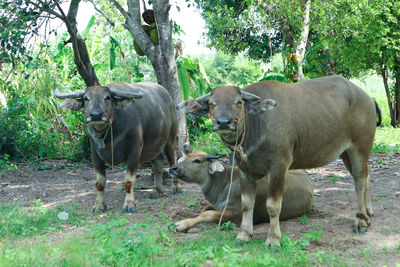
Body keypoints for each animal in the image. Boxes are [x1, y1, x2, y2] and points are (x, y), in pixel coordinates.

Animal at [55, 81, 178, 214]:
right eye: (86, 98)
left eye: (107, 97)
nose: (96, 115)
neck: (108, 136)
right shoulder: (95, 154)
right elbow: (99, 182)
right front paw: (98, 206)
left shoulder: (135, 151)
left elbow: (128, 181)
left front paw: (129, 205)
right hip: (154, 146)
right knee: (157, 164)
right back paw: (157, 190)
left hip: (170, 138)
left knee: (173, 160)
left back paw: (176, 188)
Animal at [169, 151, 312, 232]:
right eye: (183, 158)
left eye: (197, 160)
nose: (173, 168)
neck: (224, 182)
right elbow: (204, 209)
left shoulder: (237, 214)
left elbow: (207, 214)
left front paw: (182, 224)